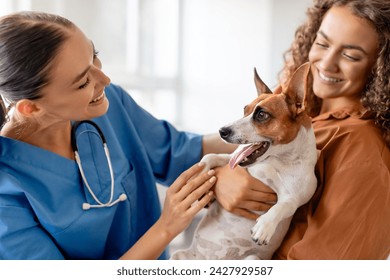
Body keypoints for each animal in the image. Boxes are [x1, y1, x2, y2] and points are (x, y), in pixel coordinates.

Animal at [171, 62, 316, 260]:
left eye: (262, 115)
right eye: (244, 110)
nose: (222, 131)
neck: (276, 160)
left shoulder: (295, 196)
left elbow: (283, 206)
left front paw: (265, 226)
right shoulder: (232, 159)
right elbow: (211, 157)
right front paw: (199, 174)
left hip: (253, 258)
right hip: (178, 255)